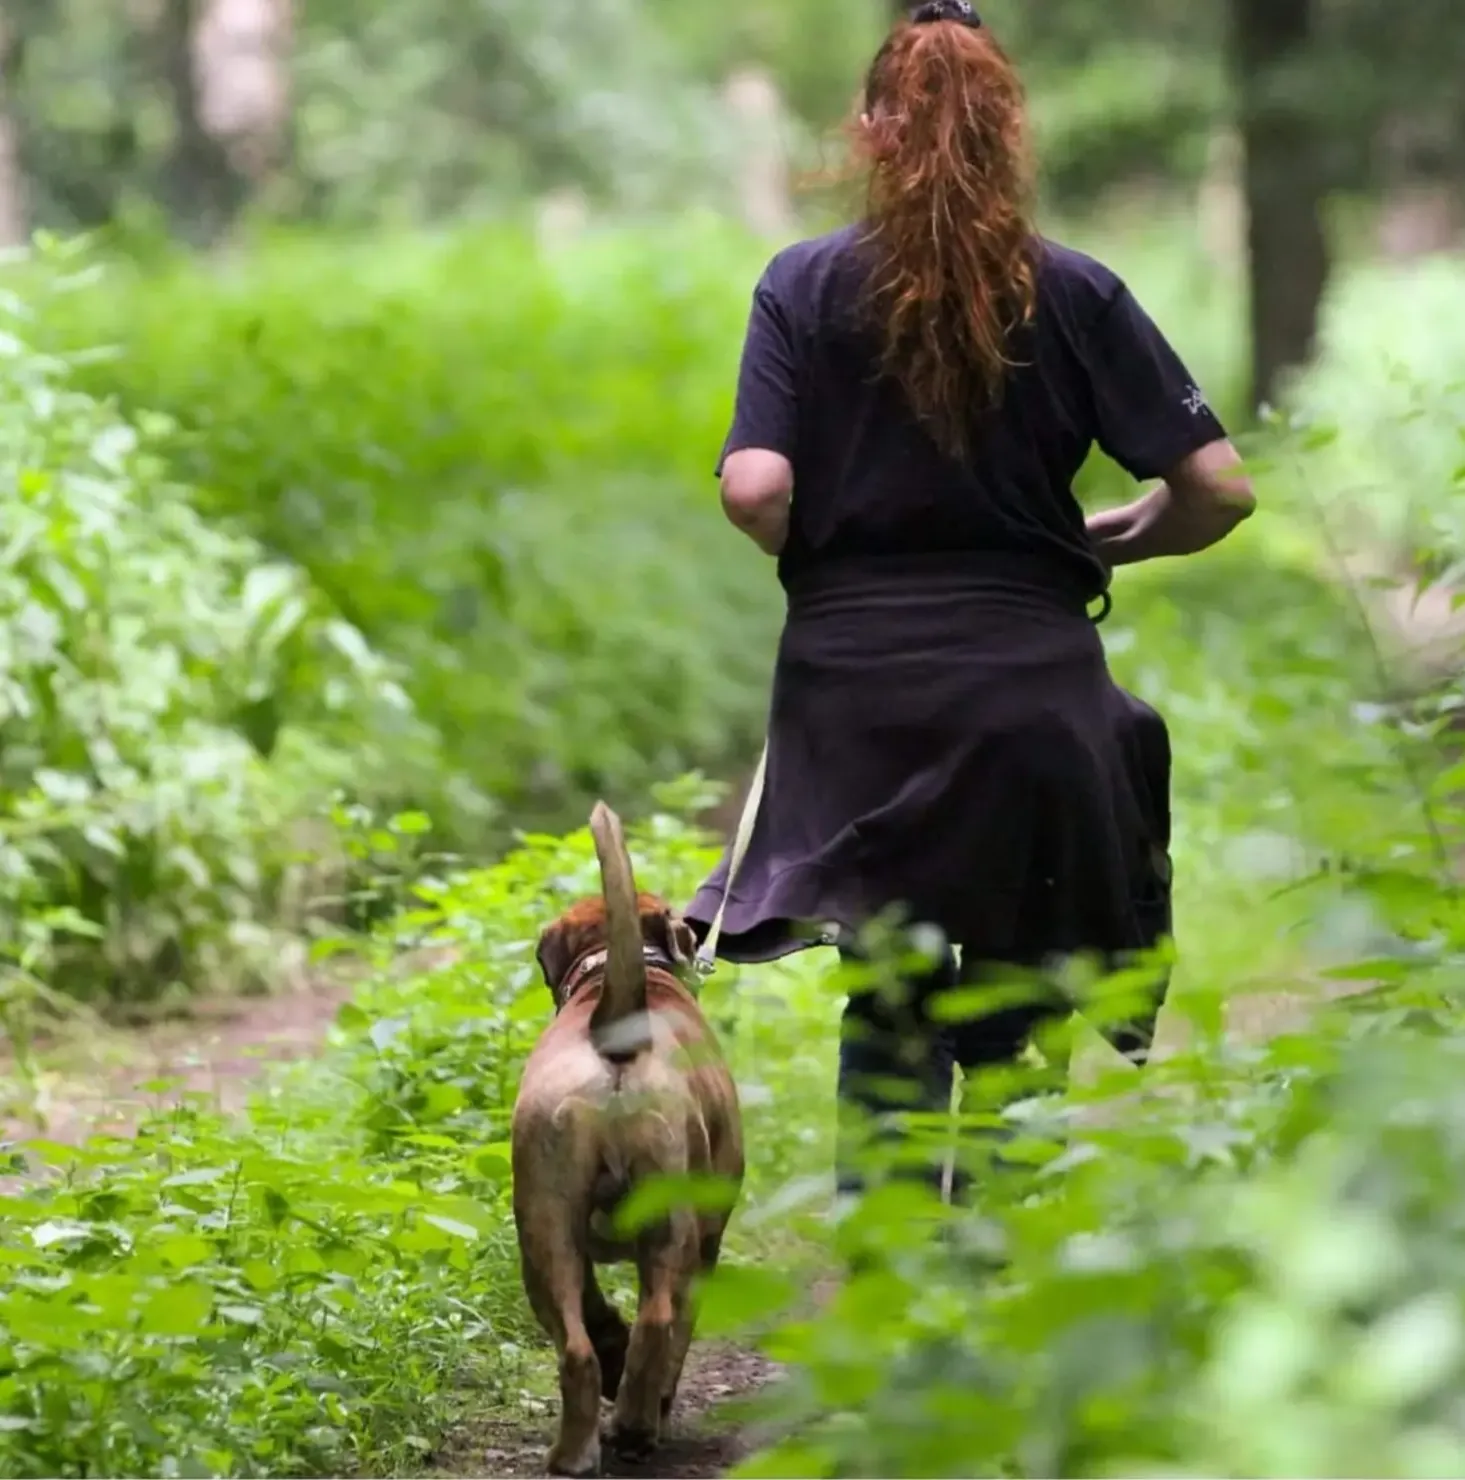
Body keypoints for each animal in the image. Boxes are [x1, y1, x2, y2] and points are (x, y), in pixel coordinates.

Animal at [512, 805, 745, 1474]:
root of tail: (613, 1027)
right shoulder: (709, 1240)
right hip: (674, 1227)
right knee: (660, 1323)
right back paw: (639, 1425)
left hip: (543, 1226)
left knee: (578, 1346)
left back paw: (576, 1450)